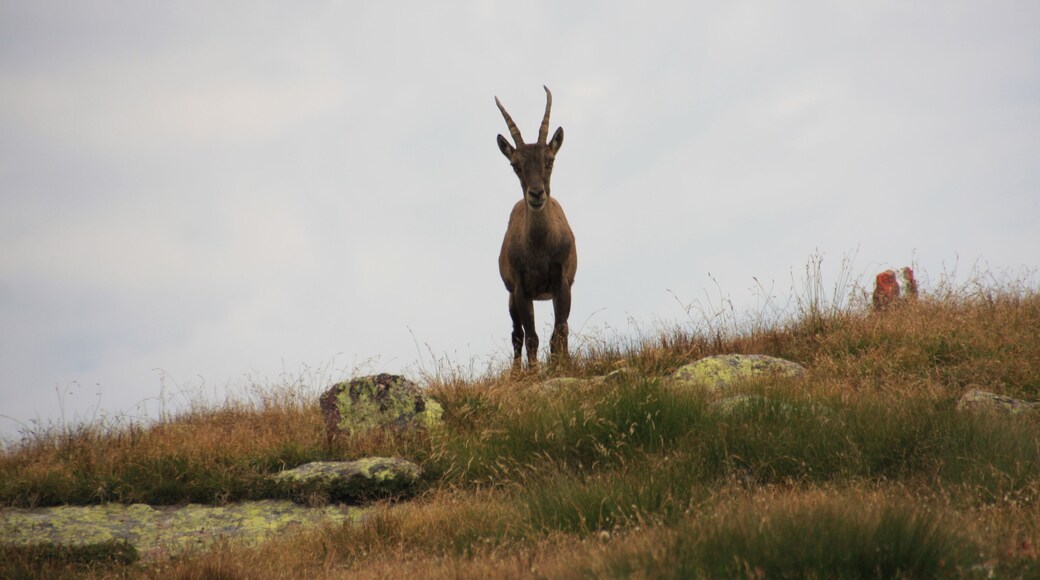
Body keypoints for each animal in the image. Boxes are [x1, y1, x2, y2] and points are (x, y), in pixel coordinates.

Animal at [495, 86, 577, 367]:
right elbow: (530, 337)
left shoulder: (562, 282)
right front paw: (533, 371)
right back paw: (517, 371)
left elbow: (560, 331)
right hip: (510, 297)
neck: (540, 247)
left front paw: (561, 365)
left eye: (550, 160)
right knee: (516, 334)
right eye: (515, 165)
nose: (536, 194)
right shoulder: (521, 289)